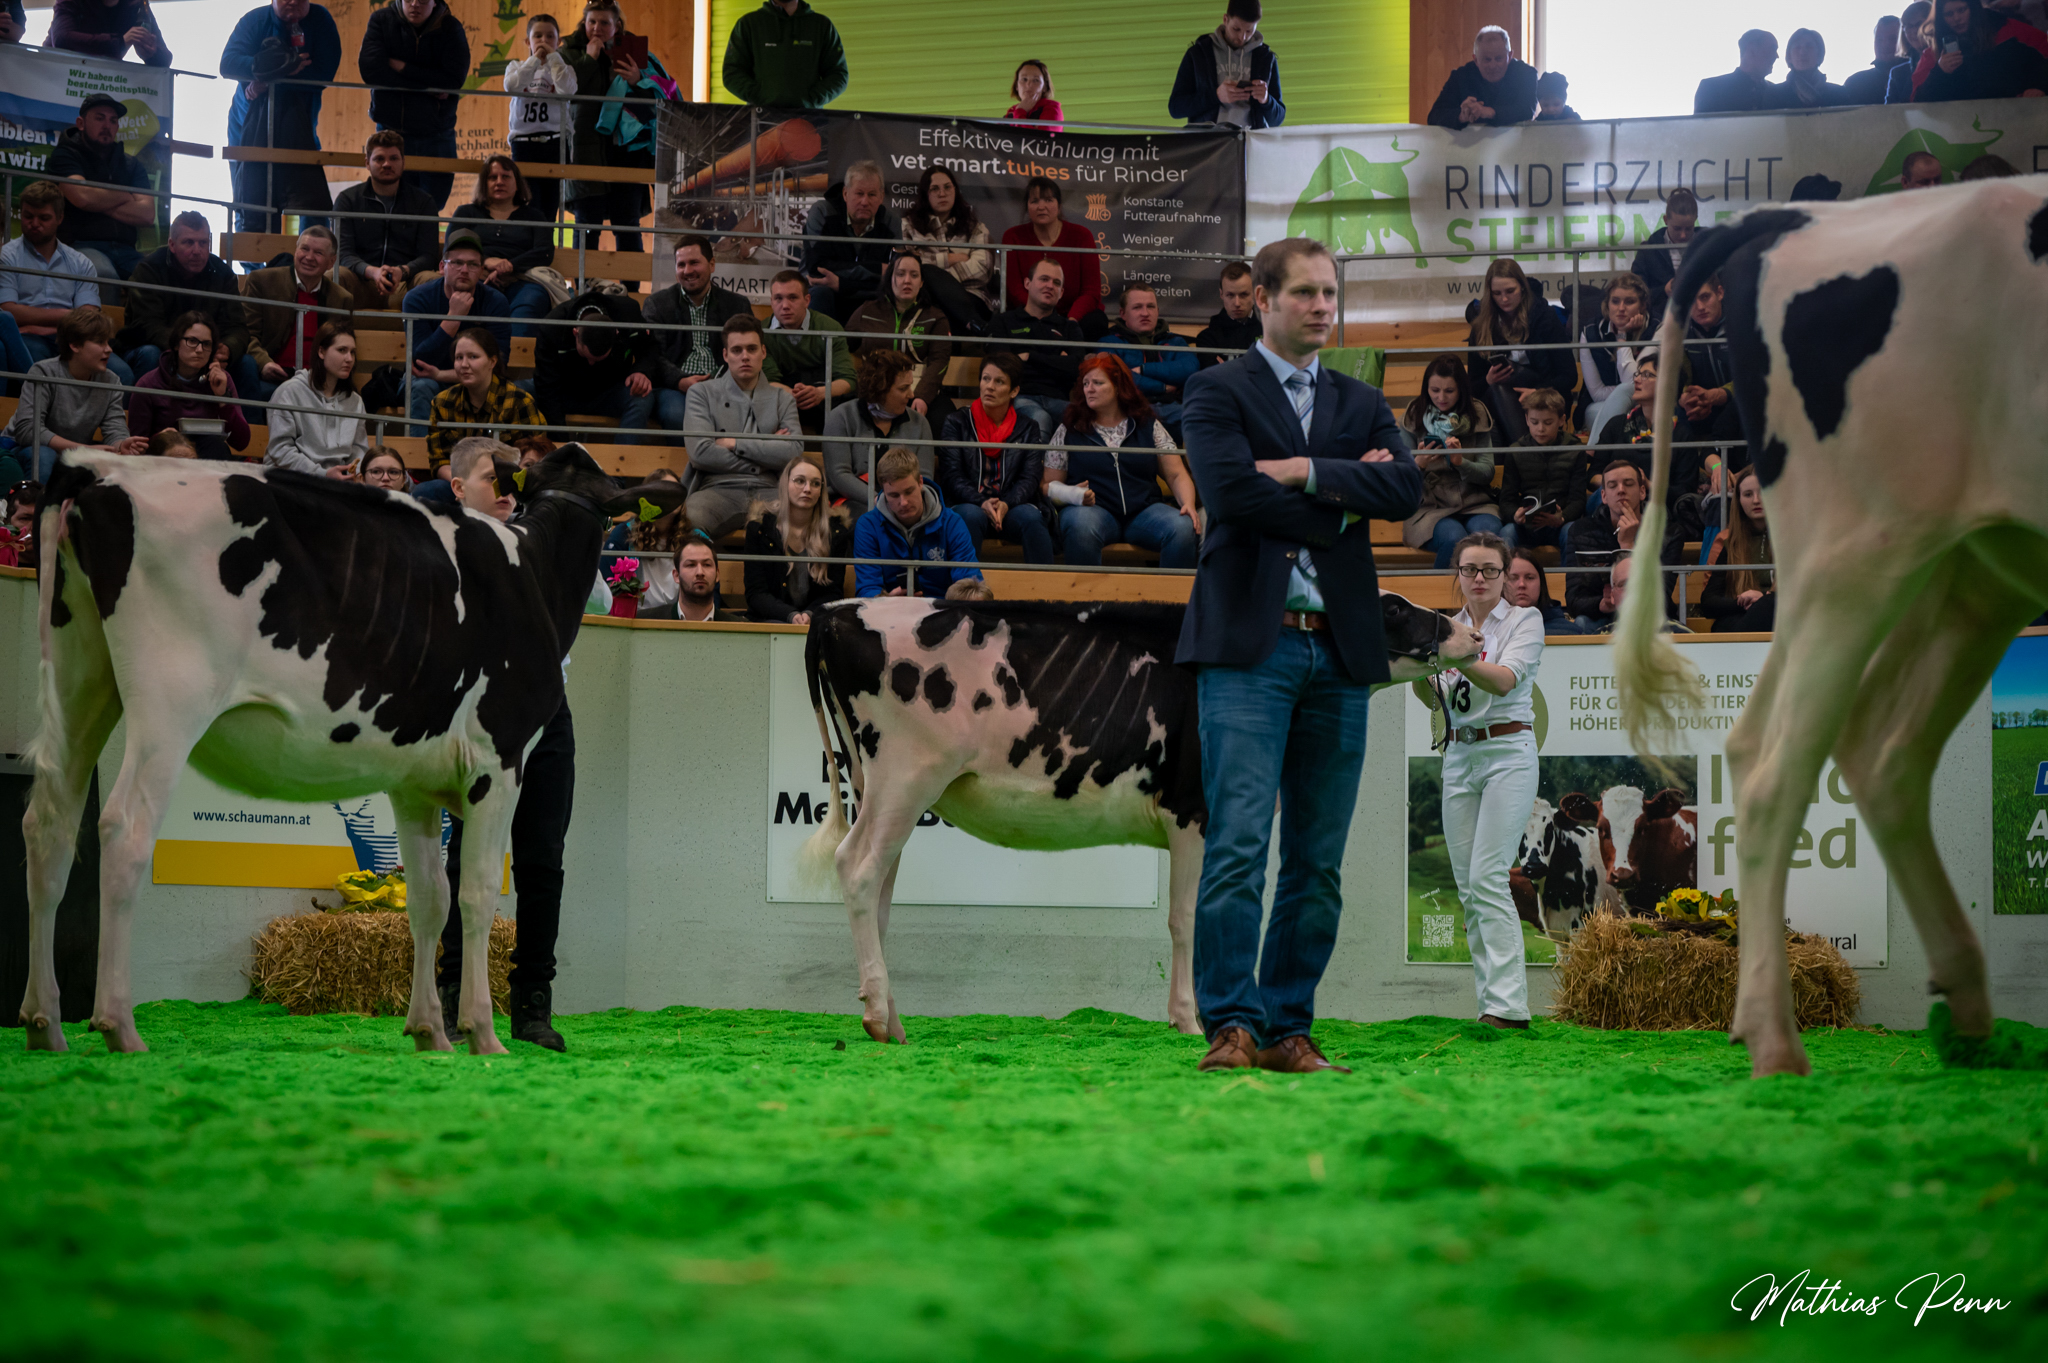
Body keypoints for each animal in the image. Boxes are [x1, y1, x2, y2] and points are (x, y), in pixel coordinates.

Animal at [19, 446, 682, 1056]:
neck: (535, 574)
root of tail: (100, 467)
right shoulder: (500, 760)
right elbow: (475, 894)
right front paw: (481, 1033)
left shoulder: (414, 782)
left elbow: (428, 899)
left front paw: (429, 1032)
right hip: (170, 703)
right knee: (123, 830)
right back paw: (118, 1026)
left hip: (80, 681)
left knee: (48, 828)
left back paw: (45, 1024)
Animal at [800, 594, 1481, 1043]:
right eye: (1391, 608)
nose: (1469, 634)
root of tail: (835, 610)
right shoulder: (1195, 810)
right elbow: (1189, 918)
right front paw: (1192, 1020)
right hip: (905, 775)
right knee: (857, 868)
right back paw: (877, 1014)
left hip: (884, 785)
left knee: (879, 888)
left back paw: (891, 1018)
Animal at [1616, 177, 2048, 1074]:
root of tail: (1788, 216)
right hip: (1863, 556)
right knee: (1779, 764)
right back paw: (1777, 1042)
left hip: (1965, 567)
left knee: (1868, 746)